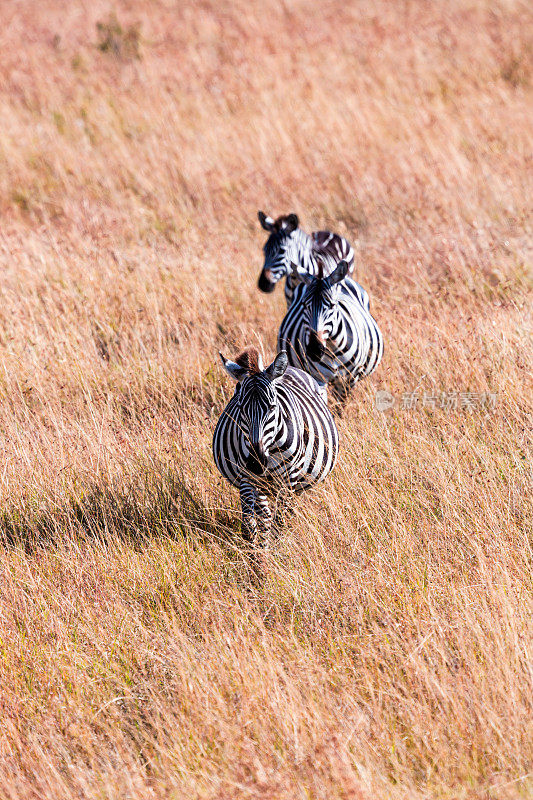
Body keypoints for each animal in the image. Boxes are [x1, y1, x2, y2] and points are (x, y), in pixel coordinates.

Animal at [211, 346, 336, 548]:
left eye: (271, 407)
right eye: (240, 408)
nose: (256, 463)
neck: (269, 449)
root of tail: (289, 368)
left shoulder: (289, 478)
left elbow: (280, 522)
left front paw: (276, 551)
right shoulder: (247, 478)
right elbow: (251, 523)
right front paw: (256, 552)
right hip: (263, 485)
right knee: (264, 515)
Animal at [278, 260, 382, 400]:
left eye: (332, 305)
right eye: (304, 305)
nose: (314, 350)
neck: (332, 348)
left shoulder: (349, 380)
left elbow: (341, 405)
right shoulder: (317, 378)